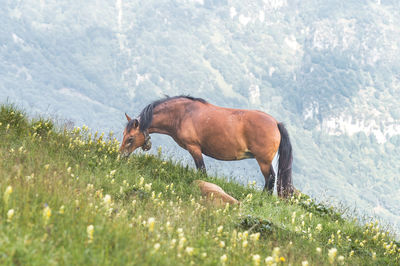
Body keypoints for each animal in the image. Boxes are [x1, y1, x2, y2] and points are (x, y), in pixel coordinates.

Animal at [119, 95, 294, 197]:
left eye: (130, 138)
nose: (121, 156)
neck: (182, 114)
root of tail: (275, 123)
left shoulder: (194, 148)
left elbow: (202, 171)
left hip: (263, 160)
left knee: (270, 179)